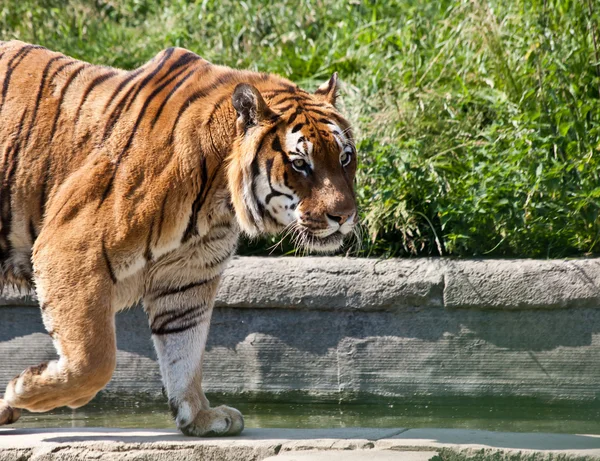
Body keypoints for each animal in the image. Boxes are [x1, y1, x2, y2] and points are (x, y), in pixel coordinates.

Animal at [0, 40, 356, 434]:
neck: (218, 197)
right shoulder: (70, 248)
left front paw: (200, 416)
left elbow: (184, 349)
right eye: (300, 164)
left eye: (345, 158)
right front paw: (22, 391)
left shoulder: (187, 273)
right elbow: (94, 361)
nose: (344, 215)